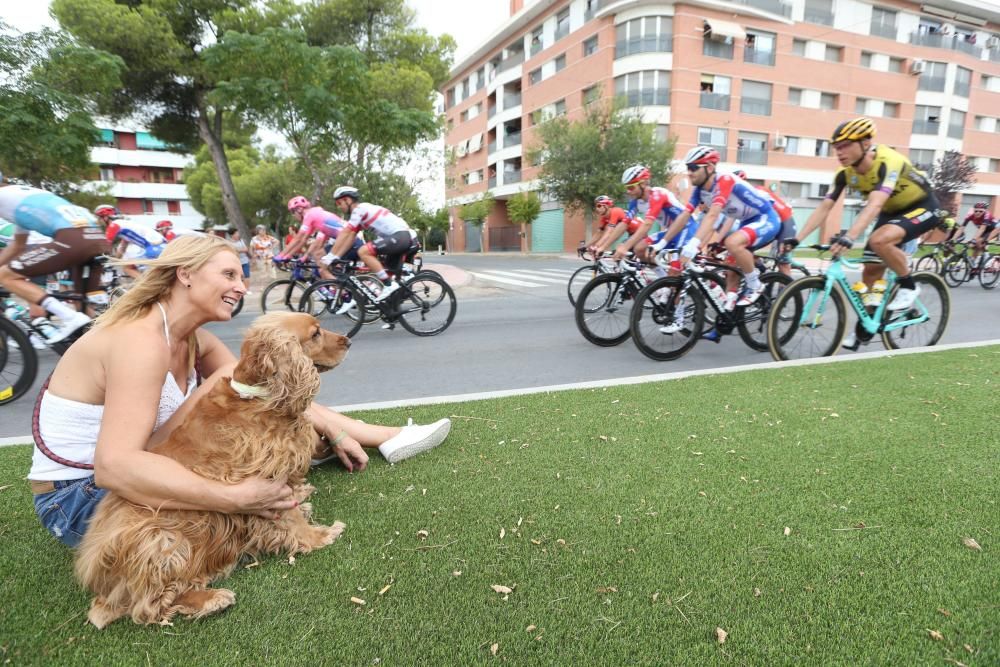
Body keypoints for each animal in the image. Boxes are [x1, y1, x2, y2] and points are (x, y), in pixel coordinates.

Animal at [74, 312, 350, 628]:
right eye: (316, 333)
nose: (349, 341)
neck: (261, 395)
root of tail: (103, 585)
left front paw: (302, 502)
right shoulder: (265, 480)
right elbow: (292, 520)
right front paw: (319, 535)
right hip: (161, 538)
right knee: (148, 606)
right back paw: (211, 599)